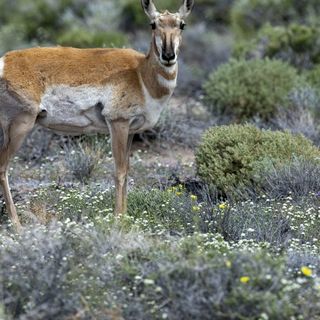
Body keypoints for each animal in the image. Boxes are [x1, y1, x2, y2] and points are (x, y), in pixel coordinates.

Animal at [0, 0, 194, 230]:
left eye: (181, 24)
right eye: (153, 24)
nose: (168, 55)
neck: (140, 74)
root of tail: (4, 62)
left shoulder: (130, 131)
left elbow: (127, 170)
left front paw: (125, 217)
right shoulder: (117, 123)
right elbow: (119, 172)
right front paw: (118, 220)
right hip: (21, 125)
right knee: (3, 168)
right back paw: (17, 225)